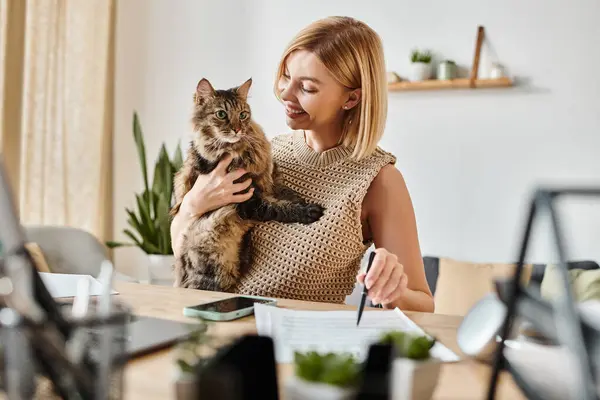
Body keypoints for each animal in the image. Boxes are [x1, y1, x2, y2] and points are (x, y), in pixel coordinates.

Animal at [171, 77, 326, 290]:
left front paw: (298, 199)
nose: (237, 129)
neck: (242, 150)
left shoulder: (268, 177)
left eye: (243, 115)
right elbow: (277, 207)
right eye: (221, 114)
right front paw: (307, 210)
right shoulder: (248, 199)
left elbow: (283, 191)